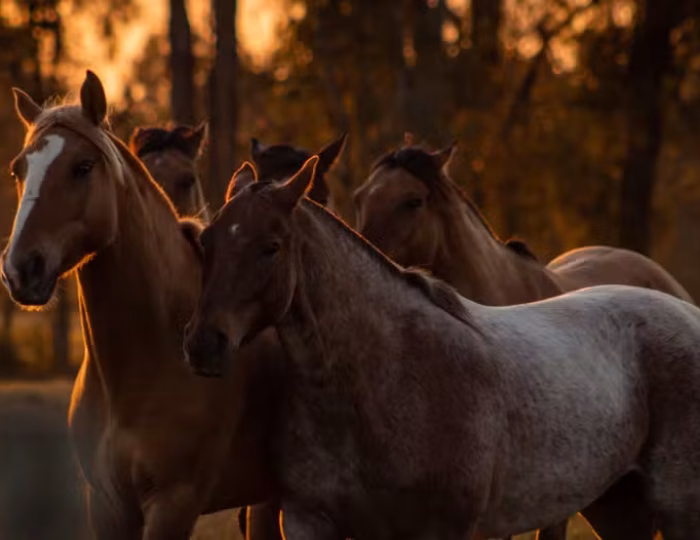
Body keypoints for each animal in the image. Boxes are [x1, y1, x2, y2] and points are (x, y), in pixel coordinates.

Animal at [185, 156, 700, 540]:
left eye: (270, 247)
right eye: (205, 240)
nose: (204, 344)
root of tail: (684, 308)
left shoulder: (440, 529)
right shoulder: (310, 520)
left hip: (677, 510)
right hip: (614, 505)